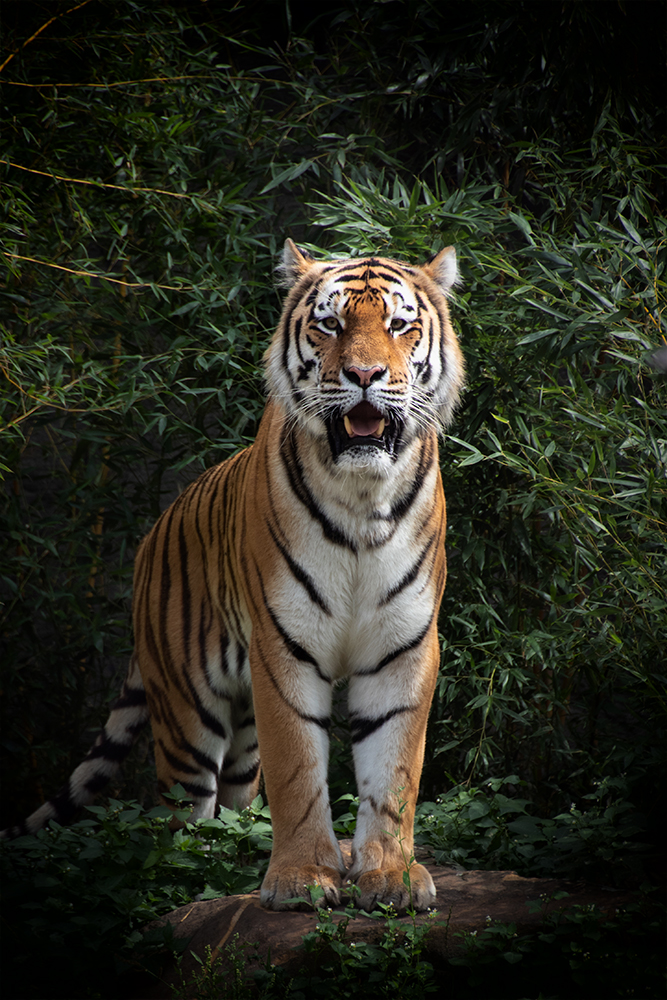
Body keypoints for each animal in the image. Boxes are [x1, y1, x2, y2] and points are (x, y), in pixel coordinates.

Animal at [2, 242, 468, 916]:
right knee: (182, 819)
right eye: (330, 325)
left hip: (241, 737)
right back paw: (199, 873)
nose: (365, 376)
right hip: (187, 718)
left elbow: (395, 770)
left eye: (400, 326)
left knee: (239, 799)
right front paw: (303, 878)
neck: (362, 495)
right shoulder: (283, 647)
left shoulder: (404, 646)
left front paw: (390, 875)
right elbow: (298, 768)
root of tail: (150, 537)